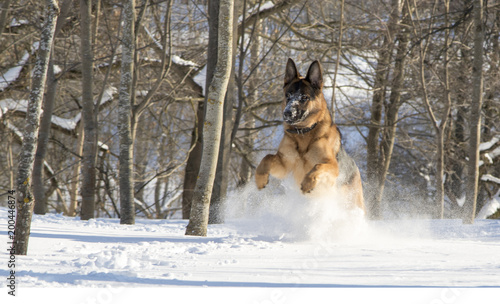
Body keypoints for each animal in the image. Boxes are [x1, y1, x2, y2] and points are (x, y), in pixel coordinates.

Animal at [256, 58, 366, 213]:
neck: (304, 133)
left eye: (304, 97)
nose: (287, 113)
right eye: (288, 95)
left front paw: (308, 183)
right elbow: (267, 157)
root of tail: (356, 168)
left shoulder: (332, 166)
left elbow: (318, 166)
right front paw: (260, 178)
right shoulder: (285, 165)